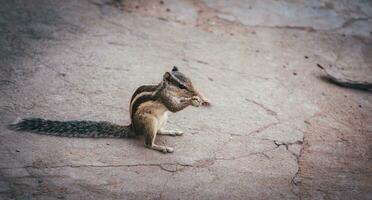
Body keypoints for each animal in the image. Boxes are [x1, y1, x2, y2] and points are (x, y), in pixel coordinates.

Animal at [9, 67, 209, 153]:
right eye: (182, 85)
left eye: (190, 81)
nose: (195, 92)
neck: (165, 88)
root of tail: (133, 128)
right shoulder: (164, 99)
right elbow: (174, 107)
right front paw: (192, 101)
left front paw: (200, 98)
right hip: (149, 121)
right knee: (147, 143)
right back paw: (161, 147)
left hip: (162, 118)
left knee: (160, 131)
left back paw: (171, 131)